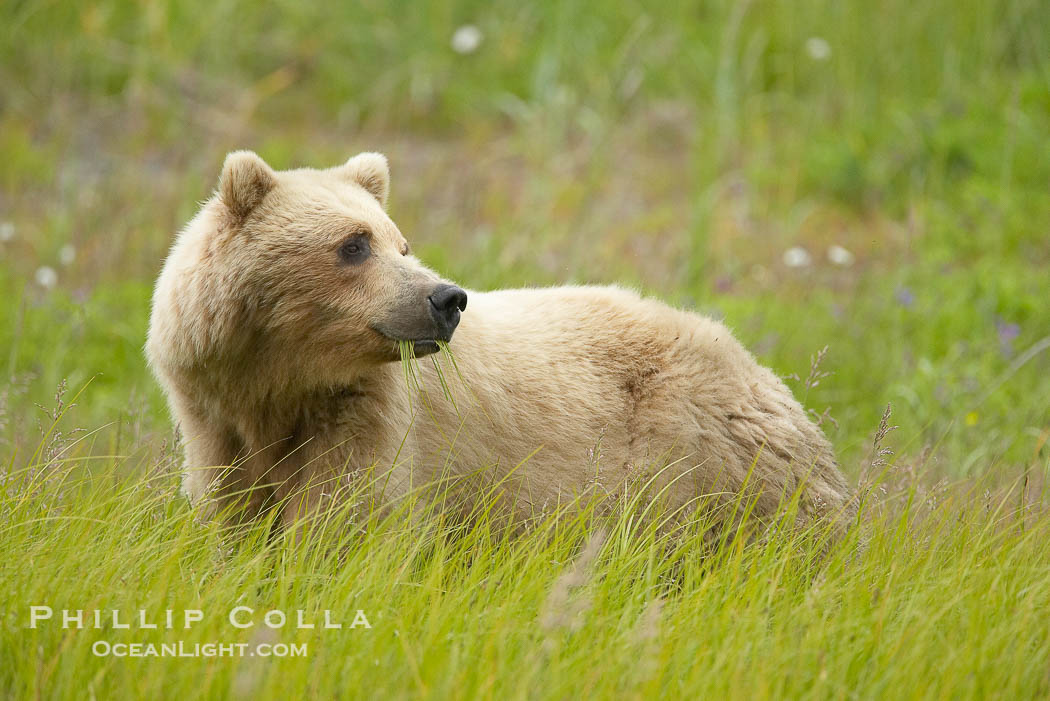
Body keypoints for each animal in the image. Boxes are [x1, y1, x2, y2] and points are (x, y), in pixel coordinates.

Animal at [146, 150, 854, 535]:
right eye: (354, 243)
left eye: (400, 242)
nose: (446, 299)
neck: (276, 383)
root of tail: (759, 369)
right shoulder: (214, 422)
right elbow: (233, 515)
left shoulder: (365, 418)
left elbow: (345, 520)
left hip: (710, 464)